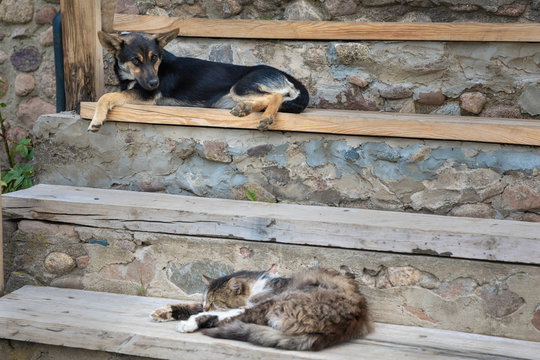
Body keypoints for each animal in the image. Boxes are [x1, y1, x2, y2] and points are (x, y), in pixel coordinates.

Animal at [88, 29, 308, 132]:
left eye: (154, 58)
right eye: (135, 60)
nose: (154, 84)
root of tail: (286, 75)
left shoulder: (144, 96)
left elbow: (105, 97)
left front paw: (96, 120)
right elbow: (111, 94)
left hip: (240, 87)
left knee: (275, 97)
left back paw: (267, 116)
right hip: (230, 98)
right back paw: (244, 109)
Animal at [150, 266, 374, 350]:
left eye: (213, 302)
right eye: (205, 300)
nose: (206, 307)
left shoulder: (252, 302)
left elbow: (221, 313)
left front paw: (188, 321)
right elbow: (191, 306)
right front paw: (163, 312)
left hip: (275, 303)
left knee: (231, 319)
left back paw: (191, 324)